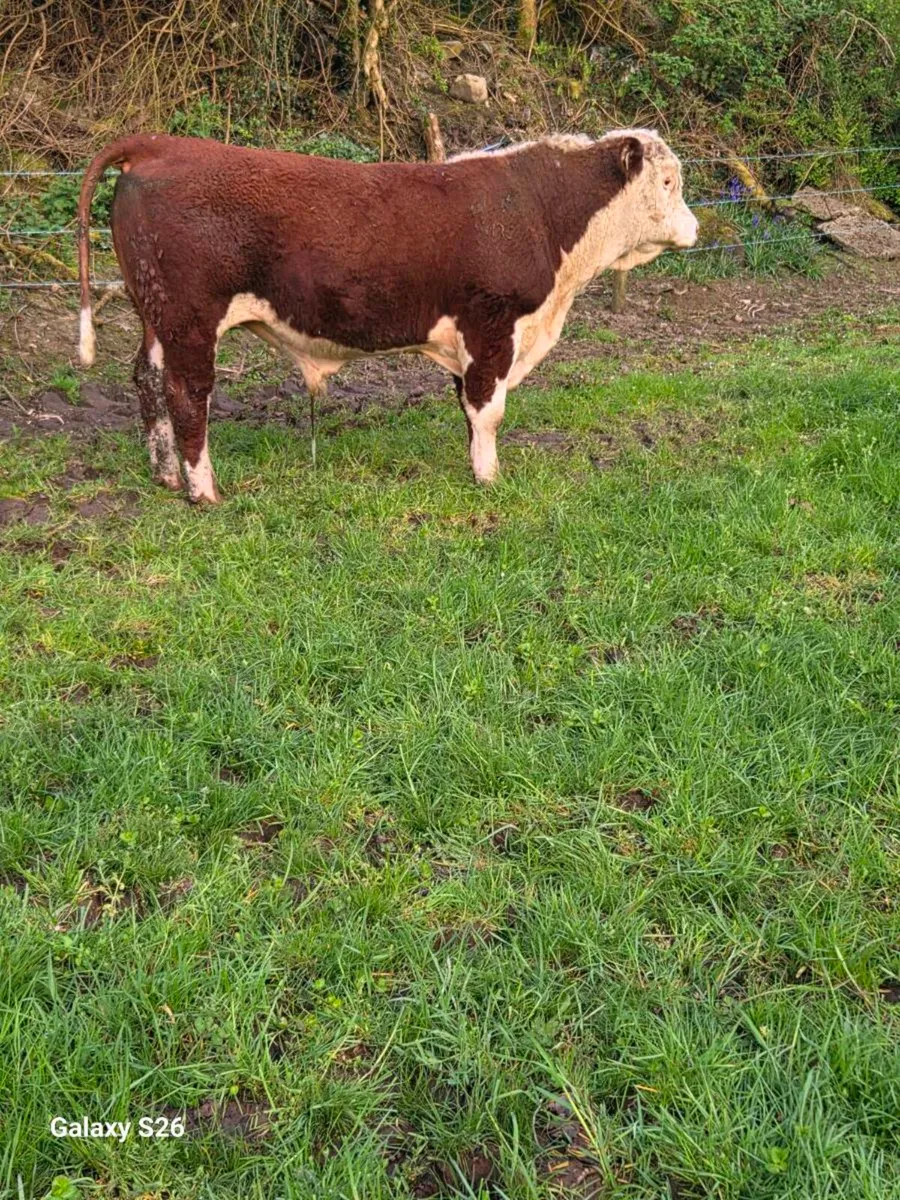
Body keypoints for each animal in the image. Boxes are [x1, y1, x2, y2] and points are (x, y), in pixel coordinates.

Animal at [77, 129, 697, 503]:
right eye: (668, 182)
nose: (694, 228)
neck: (538, 211)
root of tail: (158, 143)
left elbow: (469, 409)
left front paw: (475, 465)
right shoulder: (492, 325)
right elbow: (489, 409)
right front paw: (489, 478)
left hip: (156, 317)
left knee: (148, 380)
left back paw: (164, 473)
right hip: (190, 320)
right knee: (188, 396)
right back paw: (203, 491)